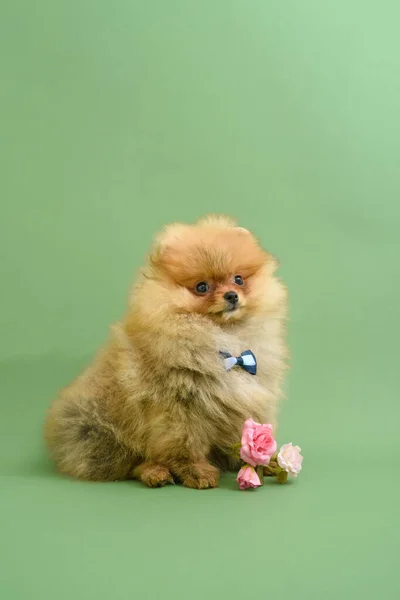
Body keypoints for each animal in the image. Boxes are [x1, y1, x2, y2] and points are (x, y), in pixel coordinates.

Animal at [44, 216, 288, 488]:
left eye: (238, 279)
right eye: (202, 287)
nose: (232, 295)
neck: (226, 340)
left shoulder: (242, 404)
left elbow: (241, 436)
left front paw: (260, 463)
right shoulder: (179, 410)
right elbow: (185, 446)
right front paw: (197, 472)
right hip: (98, 429)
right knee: (131, 462)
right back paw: (155, 472)